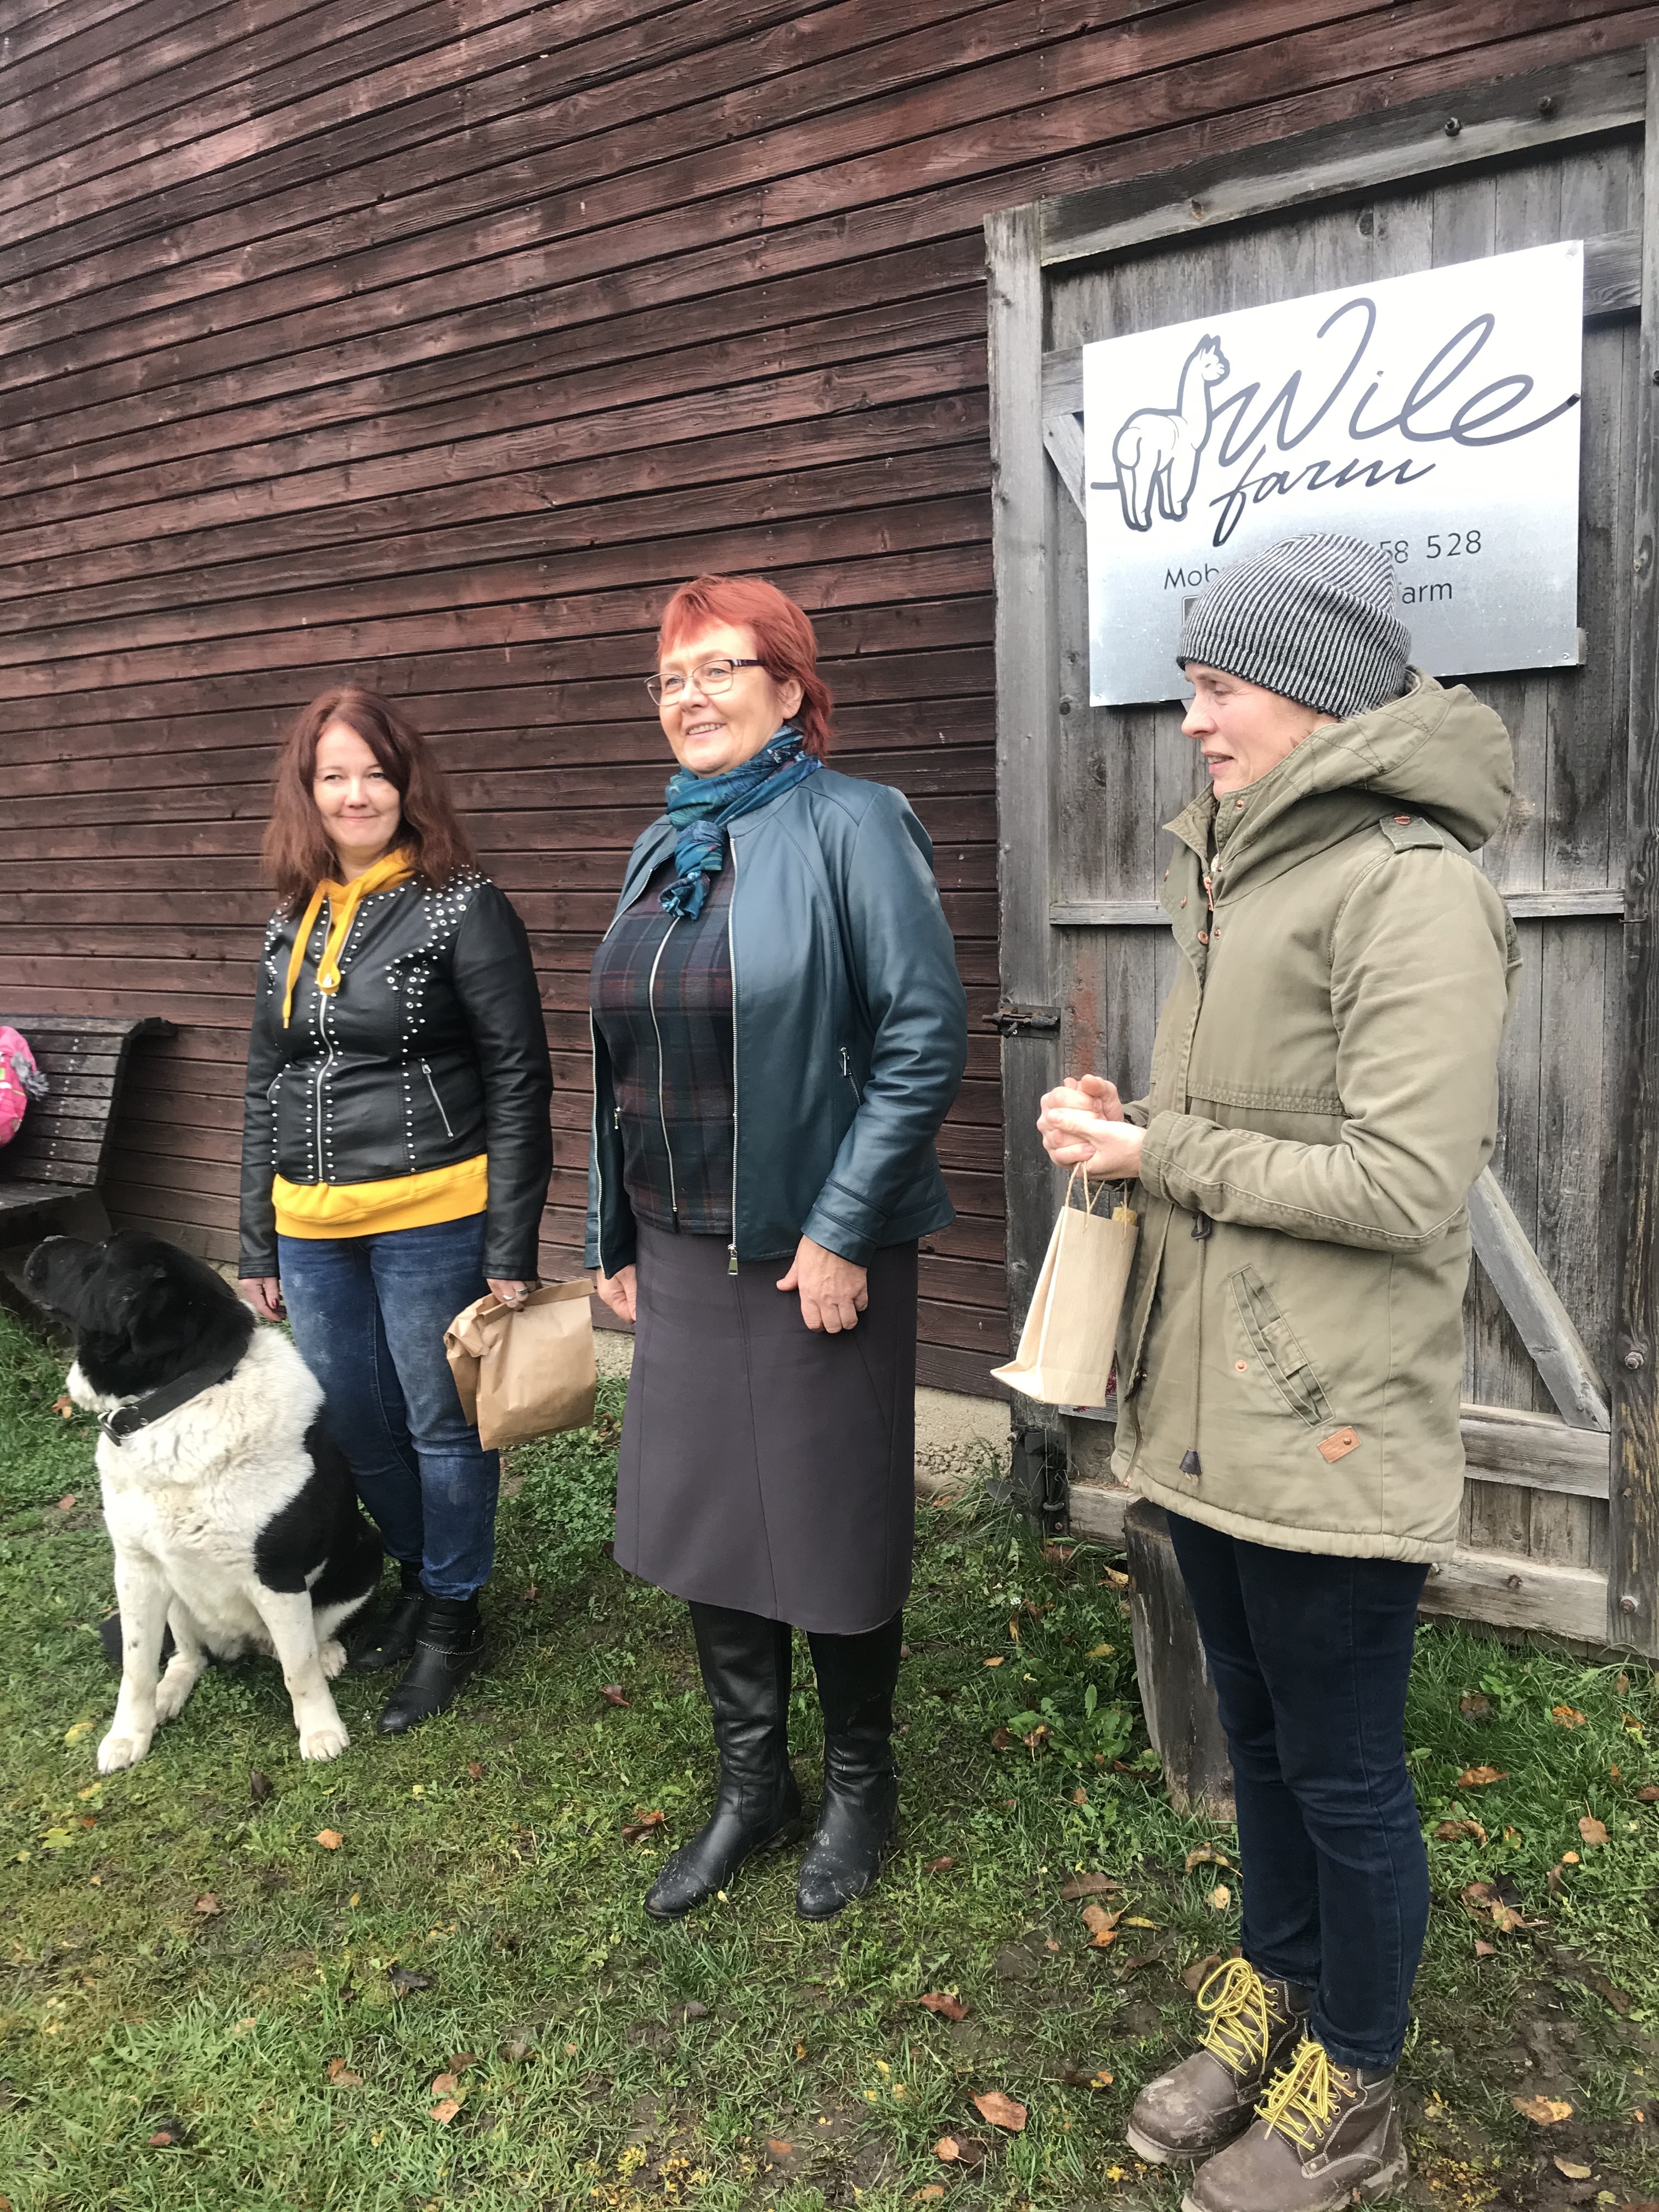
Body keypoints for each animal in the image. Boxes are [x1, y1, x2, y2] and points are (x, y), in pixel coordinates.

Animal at [26, 1231, 381, 1774]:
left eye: (102, 1252)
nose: (44, 1240)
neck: (177, 1402)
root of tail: (245, 1642)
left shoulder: (277, 1575)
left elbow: (298, 1670)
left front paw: (321, 1731)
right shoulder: (136, 1569)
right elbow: (137, 1667)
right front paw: (128, 1736)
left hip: (367, 1550)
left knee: (312, 1637)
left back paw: (327, 1654)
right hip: (178, 1593)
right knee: (187, 1656)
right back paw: (169, 1693)